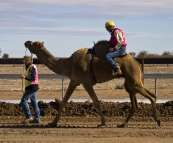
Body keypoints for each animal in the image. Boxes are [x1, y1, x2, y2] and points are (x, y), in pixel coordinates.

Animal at [24, 40, 161, 127]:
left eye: (34, 43)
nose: (26, 41)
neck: (68, 64)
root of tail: (137, 63)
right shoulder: (74, 81)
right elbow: (63, 101)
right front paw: (53, 123)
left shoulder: (86, 81)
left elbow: (96, 101)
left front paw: (103, 123)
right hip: (131, 83)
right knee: (138, 101)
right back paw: (123, 124)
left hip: (133, 79)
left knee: (151, 96)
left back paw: (158, 120)